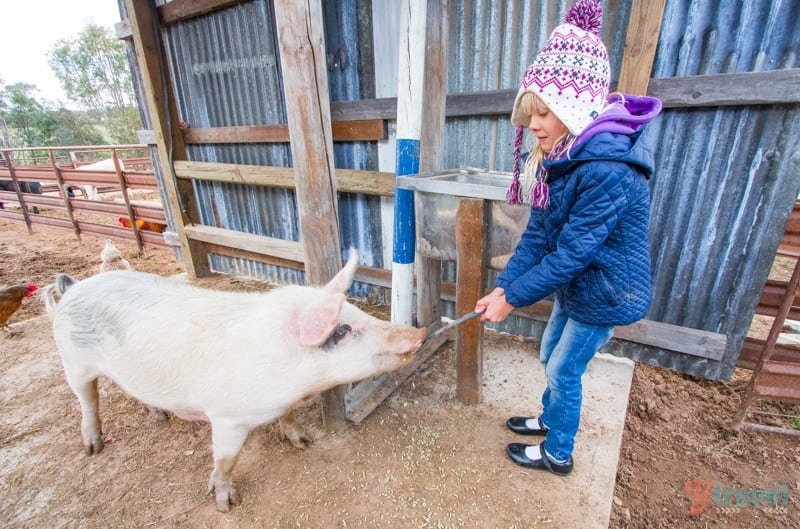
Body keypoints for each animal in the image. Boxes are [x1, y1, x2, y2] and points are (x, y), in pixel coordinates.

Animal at [45, 250, 424, 510]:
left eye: (357, 312)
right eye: (342, 330)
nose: (417, 333)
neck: (297, 382)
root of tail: (73, 289)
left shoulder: (286, 403)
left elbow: (289, 418)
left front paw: (303, 442)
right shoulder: (227, 417)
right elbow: (226, 461)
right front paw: (226, 504)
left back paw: (159, 416)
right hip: (73, 361)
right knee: (88, 400)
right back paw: (93, 447)